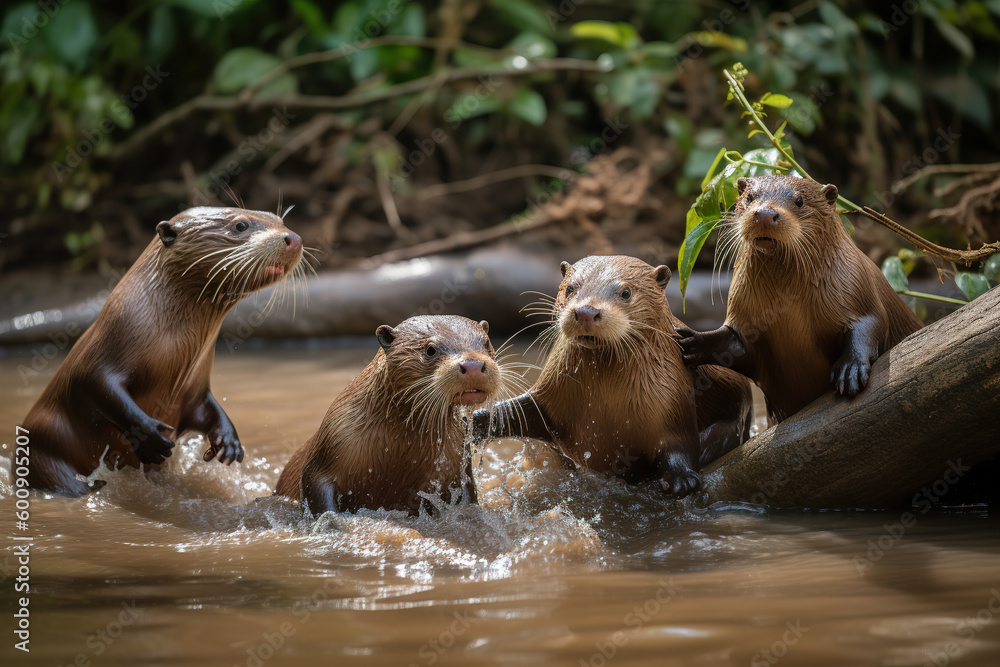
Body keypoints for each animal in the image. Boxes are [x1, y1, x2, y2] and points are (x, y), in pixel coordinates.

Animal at [19, 207, 304, 495]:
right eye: (241, 225)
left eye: (279, 220)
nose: (293, 237)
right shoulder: (98, 355)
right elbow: (96, 386)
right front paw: (148, 437)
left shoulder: (195, 387)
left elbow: (207, 407)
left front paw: (230, 442)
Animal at [275, 316, 503, 515]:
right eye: (430, 349)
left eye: (486, 342)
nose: (473, 365)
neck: (398, 450)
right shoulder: (331, 445)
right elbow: (319, 496)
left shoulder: (458, 460)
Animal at [472, 255, 754, 498]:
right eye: (570, 288)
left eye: (626, 292)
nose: (586, 311)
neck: (605, 404)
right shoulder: (550, 396)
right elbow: (519, 411)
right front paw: (477, 421)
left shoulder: (673, 402)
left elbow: (679, 443)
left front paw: (681, 479)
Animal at [677, 175, 923, 424]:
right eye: (749, 198)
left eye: (799, 201)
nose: (765, 214)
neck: (786, 307)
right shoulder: (745, 320)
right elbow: (730, 345)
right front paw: (694, 341)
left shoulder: (857, 289)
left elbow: (871, 323)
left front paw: (850, 368)